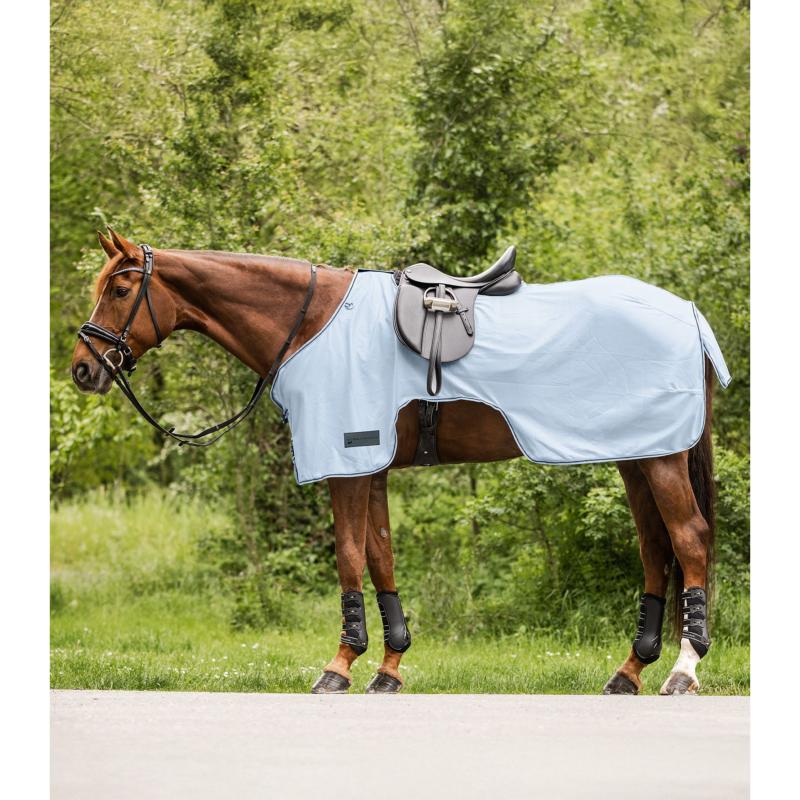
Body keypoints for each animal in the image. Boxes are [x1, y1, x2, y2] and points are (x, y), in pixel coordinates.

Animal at [72, 229, 720, 696]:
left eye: (120, 291)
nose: (83, 368)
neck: (311, 323)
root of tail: (689, 313)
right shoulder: (371, 467)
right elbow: (380, 556)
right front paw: (389, 667)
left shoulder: (346, 462)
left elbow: (348, 557)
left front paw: (339, 666)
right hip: (636, 458)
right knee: (655, 548)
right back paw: (629, 672)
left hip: (661, 459)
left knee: (689, 539)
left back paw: (682, 671)